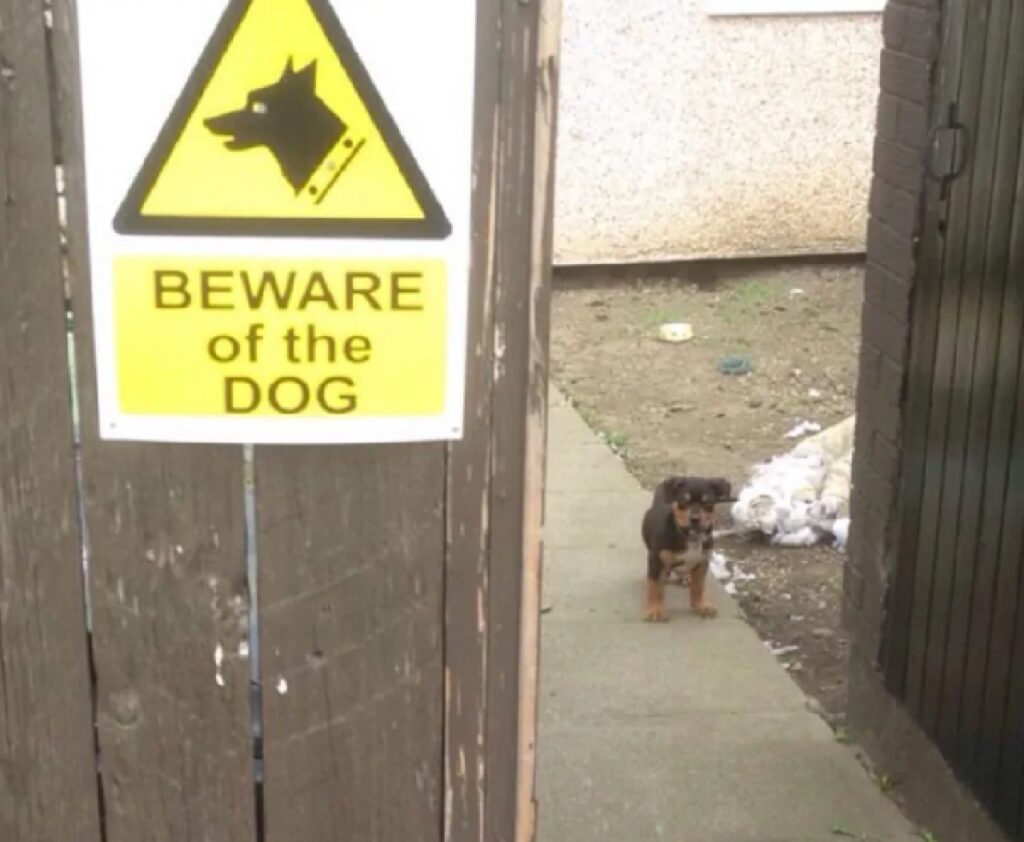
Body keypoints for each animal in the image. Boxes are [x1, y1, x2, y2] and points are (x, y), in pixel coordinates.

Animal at [643, 477, 733, 622]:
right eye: (684, 501)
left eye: (707, 502)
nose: (695, 519)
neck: (691, 536)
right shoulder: (657, 560)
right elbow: (655, 586)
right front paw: (655, 609)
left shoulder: (702, 561)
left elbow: (698, 586)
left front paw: (701, 606)